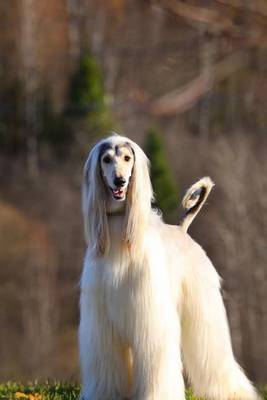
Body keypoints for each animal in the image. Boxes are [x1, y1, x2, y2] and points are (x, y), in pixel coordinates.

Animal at [79, 134, 260, 400]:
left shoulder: (150, 317)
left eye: (127, 158)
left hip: (204, 309)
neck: (119, 225)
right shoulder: (102, 324)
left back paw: (233, 392)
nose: (120, 180)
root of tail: (182, 231)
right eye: (106, 159)